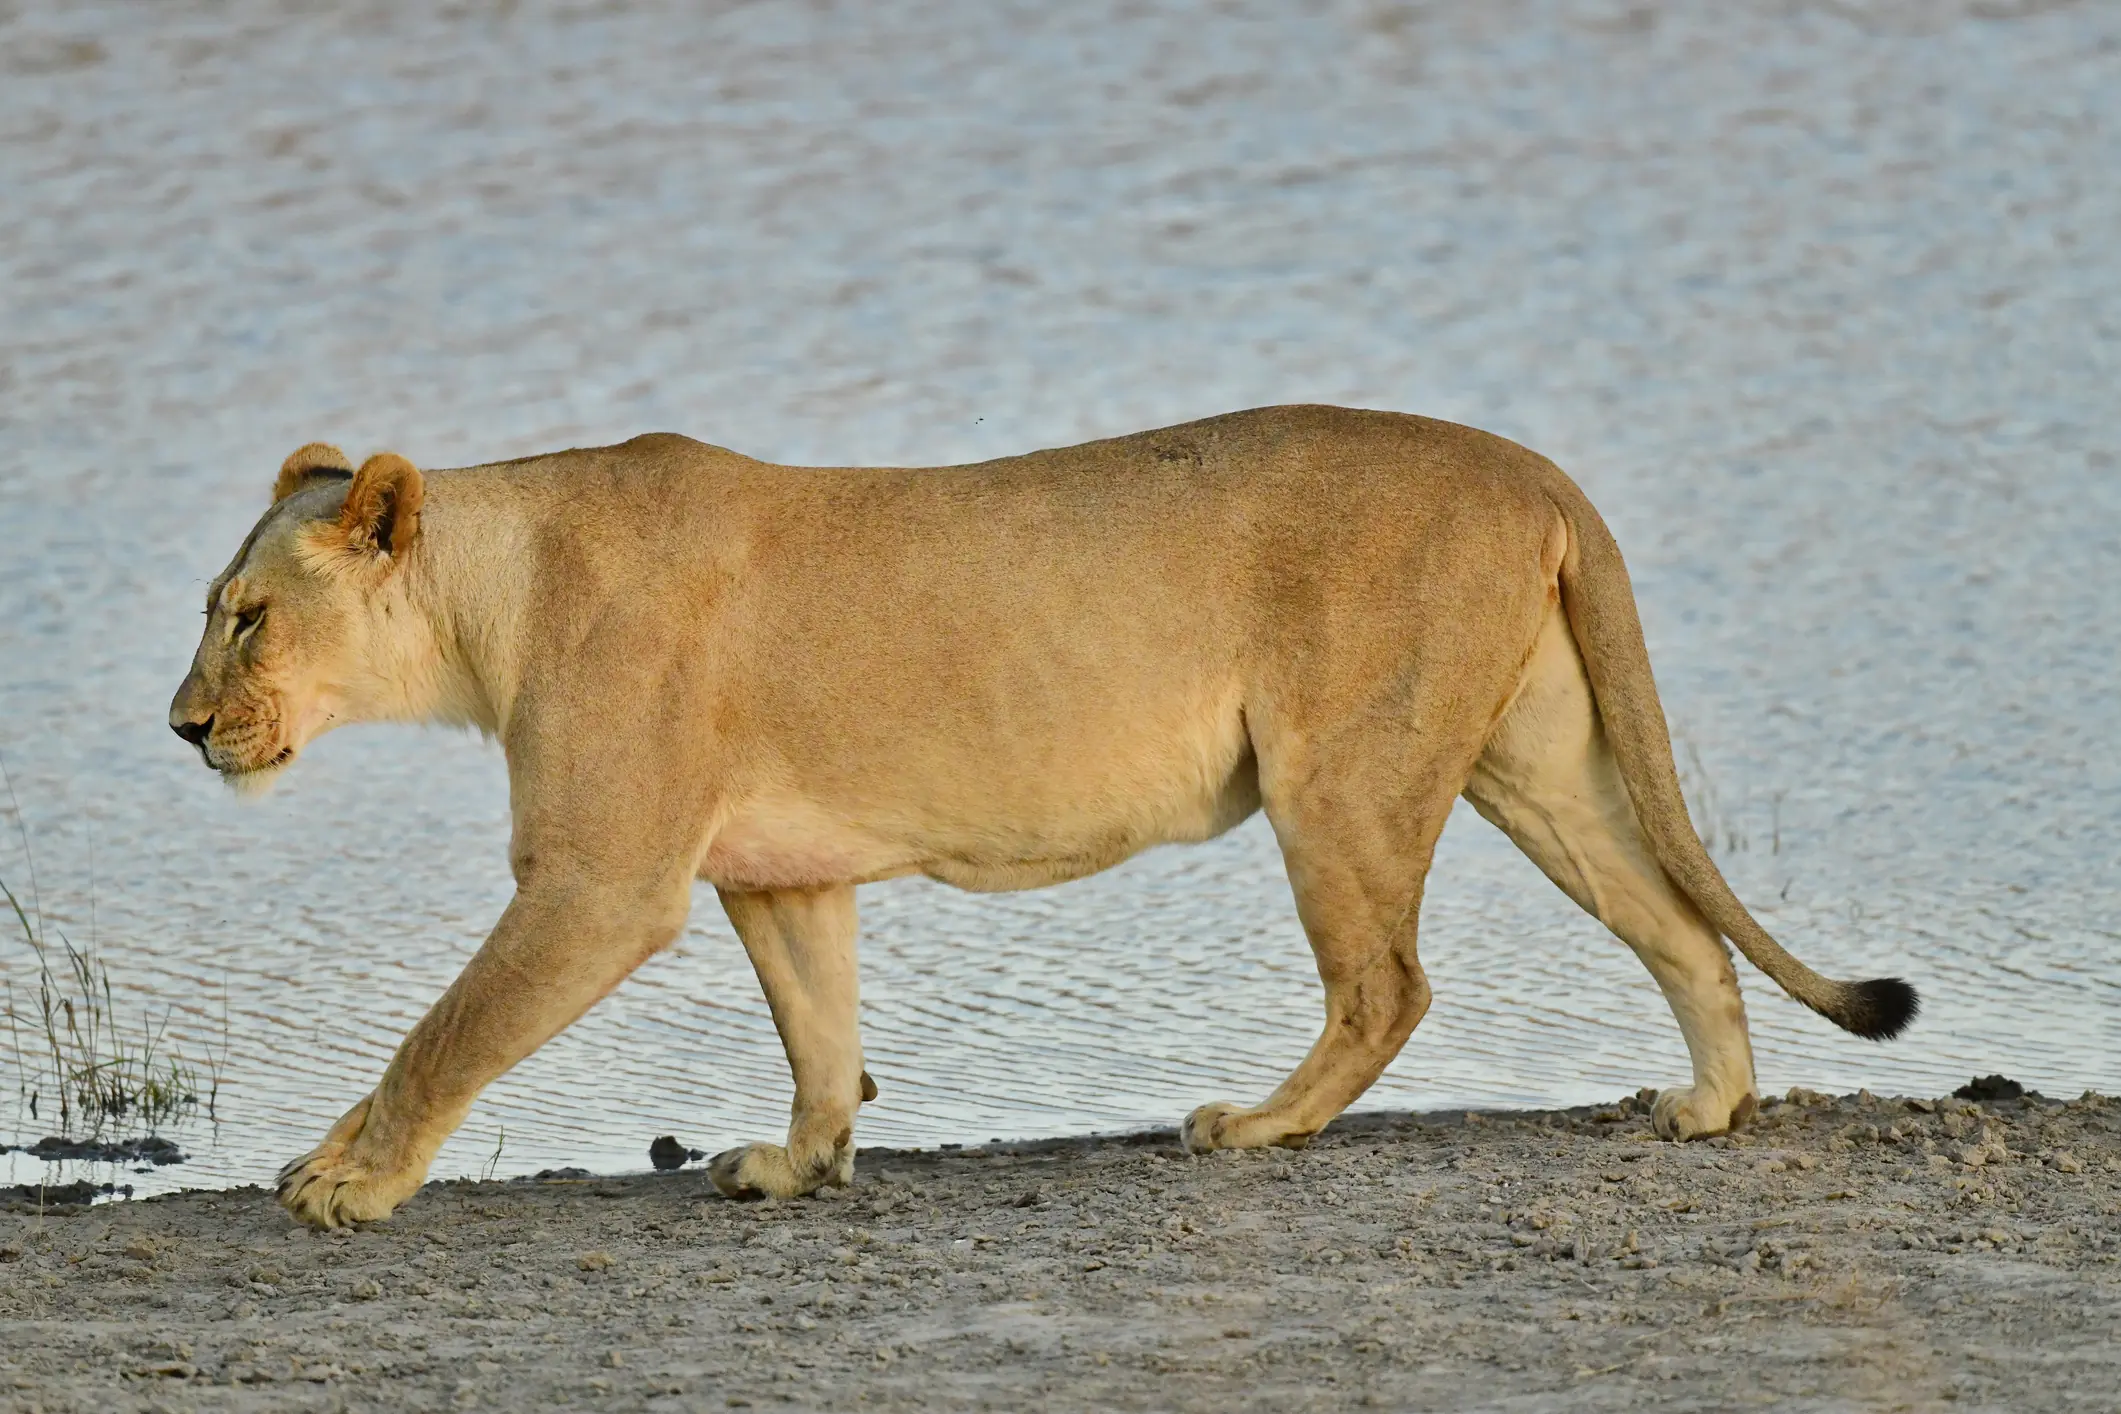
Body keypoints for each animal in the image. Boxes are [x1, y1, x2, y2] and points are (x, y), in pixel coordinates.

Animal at [168, 406, 1916, 1229]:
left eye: (245, 617)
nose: (182, 727)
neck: (494, 594)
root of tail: (1529, 463)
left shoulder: (600, 880)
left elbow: (443, 1032)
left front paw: (346, 1181)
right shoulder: (780, 871)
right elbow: (821, 1031)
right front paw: (799, 1166)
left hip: (1337, 770)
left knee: (1389, 983)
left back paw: (1253, 1124)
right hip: (1533, 761)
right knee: (1679, 919)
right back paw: (1710, 1104)